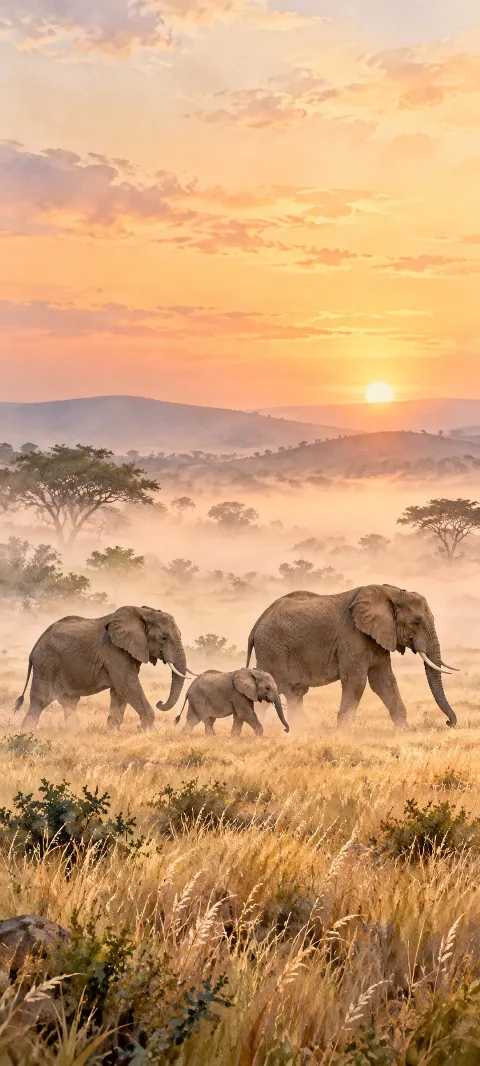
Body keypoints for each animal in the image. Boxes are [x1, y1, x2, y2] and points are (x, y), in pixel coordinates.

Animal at [13, 605, 190, 730]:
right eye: (164, 638)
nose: (159, 702)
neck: (144, 612)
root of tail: (35, 647)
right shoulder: (114, 652)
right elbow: (128, 685)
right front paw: (147, 731)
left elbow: (120, 691)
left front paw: (113, 731)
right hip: (46, 664)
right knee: (40, 701)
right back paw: (26, 732)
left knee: (69, 702)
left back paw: (73, 731)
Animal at [246, 585, 458, 729]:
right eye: (416, 622)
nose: (449, 722)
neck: (391, 592)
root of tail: (256, 625)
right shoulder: (352, 637)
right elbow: (356, 681)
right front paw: (344, 733)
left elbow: (384, 681)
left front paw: (404, 730)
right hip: (272, 651)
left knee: (295, 693)